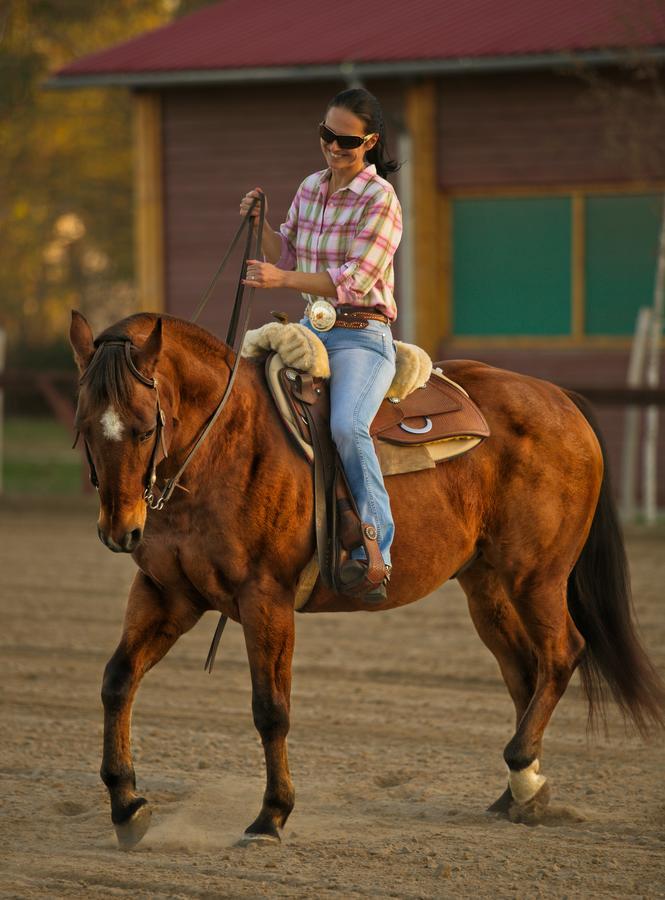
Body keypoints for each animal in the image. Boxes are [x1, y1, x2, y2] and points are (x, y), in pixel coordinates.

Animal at [70, 312, 660, 852]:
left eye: (146, 427)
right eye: (84, 427)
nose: (120, 530)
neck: (226, 443)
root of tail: (560, 398)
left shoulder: (266, 598)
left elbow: (271, 710)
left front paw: (270, 816)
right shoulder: (165, 593)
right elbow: (117, 680)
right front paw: (126, 805)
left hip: (536, 577)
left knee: (561, 654)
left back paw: (521, 769)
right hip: (486, 587)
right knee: (524, 671)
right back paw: (521, 791)